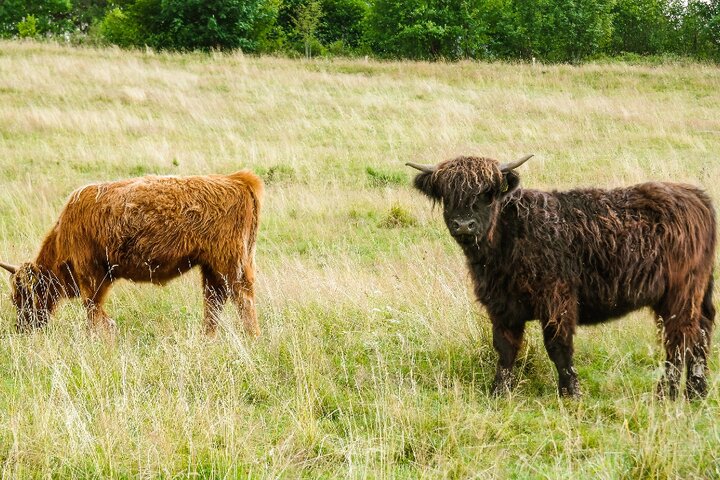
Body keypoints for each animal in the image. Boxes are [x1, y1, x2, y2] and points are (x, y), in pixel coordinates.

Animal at [0, 171, 264, 336]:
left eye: (21, 296)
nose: (22, 328)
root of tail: (238, 180)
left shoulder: (91, 275)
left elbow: (92, 309)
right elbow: (94, 310)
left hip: (231, 265)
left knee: (242, 297)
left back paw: (252, 338)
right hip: (211, 267)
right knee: (214, 301)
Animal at [408, 154, 716, 398]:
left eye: (488, 193)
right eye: (447, 195)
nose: (463, 224)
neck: (508, 237)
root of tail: (695, 195)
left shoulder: (557, 300)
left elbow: (558, 347)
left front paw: (571, 393)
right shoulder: (501, 305)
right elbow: (505, 349)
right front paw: (499, 392)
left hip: (680, 293)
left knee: (679, 339)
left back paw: (667, 393)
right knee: (700, 333)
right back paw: (696, 392)